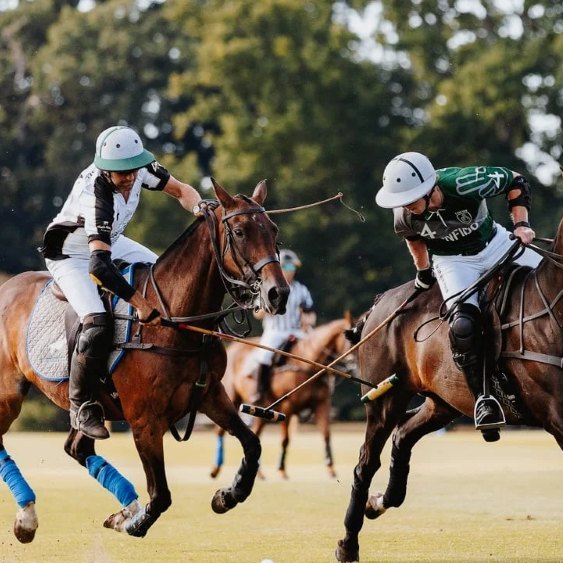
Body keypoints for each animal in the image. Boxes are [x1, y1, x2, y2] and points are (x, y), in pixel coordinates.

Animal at [0, 178, 290, 544]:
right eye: (239, 232)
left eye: (273, 229)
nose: (278, 294)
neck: (178, 322)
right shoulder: (144, 419)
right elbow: (162, 494)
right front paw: (136, 523)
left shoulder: (210, 395)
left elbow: (252, 445)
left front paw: (227, 495)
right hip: (7, 393)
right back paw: (28, 517)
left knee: (77, 447)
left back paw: (122, 507)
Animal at [209, 316, 354, 478]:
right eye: (350, 337)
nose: (355, 365)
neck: (309, 366)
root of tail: (233, 347)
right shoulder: (288, 406)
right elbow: (285, 438)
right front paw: (281, 469)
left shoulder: (322, 403)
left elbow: (326, 434)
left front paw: (331, 468)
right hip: (232, 396)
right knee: (219, 431)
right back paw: (215, 469)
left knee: (256, 433)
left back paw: (259, 472)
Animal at [338, 214, 560, 560]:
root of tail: (380, 303)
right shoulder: (557, 415)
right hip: (384, 400)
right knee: (366, 462)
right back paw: (348, 544)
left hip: (443, 401)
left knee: (404, 434)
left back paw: (378, 503)